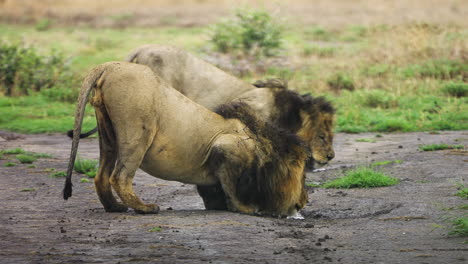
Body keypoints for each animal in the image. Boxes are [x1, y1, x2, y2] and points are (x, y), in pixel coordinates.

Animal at [64, 62, 308, 217]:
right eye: (303, 176)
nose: (304, 201)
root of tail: (108, 66)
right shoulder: (227, 146)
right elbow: (232, 187)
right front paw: (245, 209)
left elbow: (216, 188)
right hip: (137, 131)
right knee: (120, 177)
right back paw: (144, 208)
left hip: (108, 134)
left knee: (101, 176)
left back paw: (114, 207)